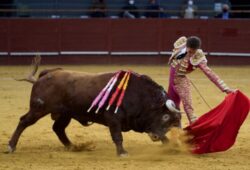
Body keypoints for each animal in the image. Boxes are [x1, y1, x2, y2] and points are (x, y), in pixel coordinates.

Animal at [7, 56, 180, 157]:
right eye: (165, 116)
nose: (155, 137)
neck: (139, 94)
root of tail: (45, 75)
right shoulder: (113, 119)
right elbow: (117, 136)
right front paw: (122, 153)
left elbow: (162, 135)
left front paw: (171, 147)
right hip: (39, 108)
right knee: (24, 121)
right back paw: (11, 147)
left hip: (65, 113)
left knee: (58, 128)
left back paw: (72, 146)